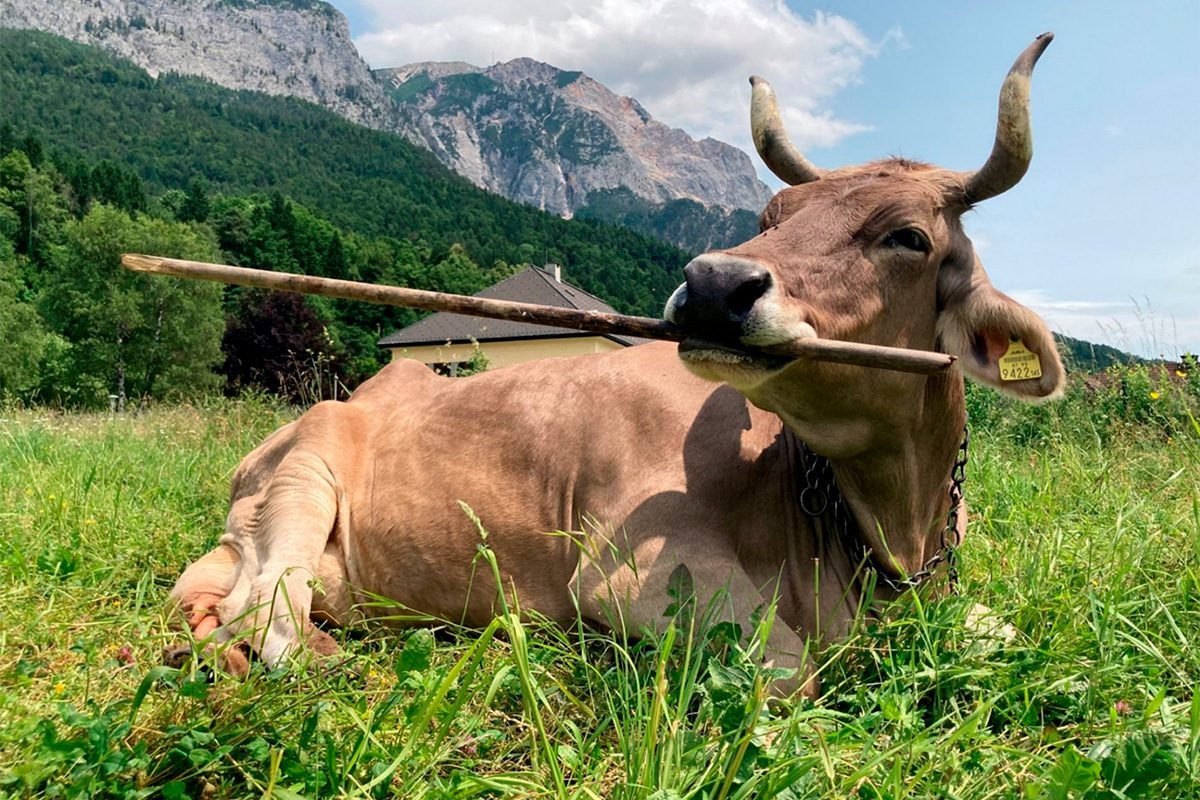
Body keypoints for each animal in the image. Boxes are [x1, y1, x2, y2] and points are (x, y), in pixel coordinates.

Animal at [166, 34, 1065, 696]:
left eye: (907, 237)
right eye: (771, 215)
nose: (713, 284)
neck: (888, 533)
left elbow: (1013, 630)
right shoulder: (633, 575)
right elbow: (792, 672)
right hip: (304, 475)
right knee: (266, 615)